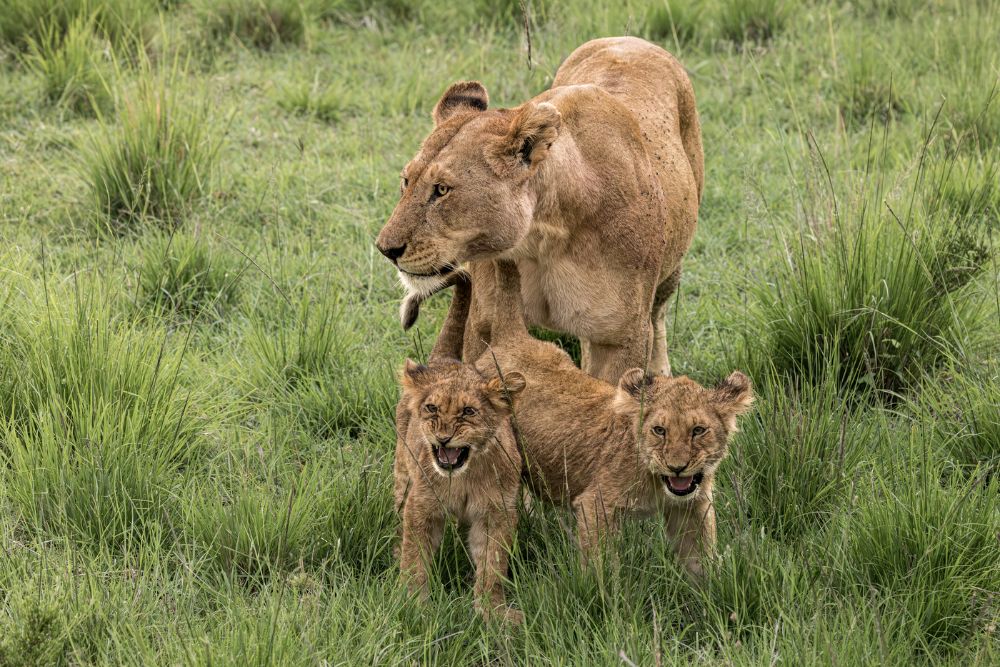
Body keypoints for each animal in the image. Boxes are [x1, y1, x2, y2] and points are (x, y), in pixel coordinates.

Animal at [376, 36, 703, 382]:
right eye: (406, 181)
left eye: (441, 190)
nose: (386, 249)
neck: (543, 237)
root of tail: (629, 39)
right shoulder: (484, 325)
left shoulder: (620, 338)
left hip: (671, 269)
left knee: (658, 313)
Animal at [393, 285, 527, 621]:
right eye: (432, 408)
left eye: (468, 412)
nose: (443, 438)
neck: (465, 477)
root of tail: (444, 359)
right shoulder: (422, 506)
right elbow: (415, 559)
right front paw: (414, 605)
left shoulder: (496, 512)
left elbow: (493, 564)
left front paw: (492, 612)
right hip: (402, 473)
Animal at [475, 260, 753, 575]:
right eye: (659, 430)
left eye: (698, 430)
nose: (677, 467)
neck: (656, 481)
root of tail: (512, 336)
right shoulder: (595, 505)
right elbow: (602, 569)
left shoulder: (690, 508)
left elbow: (701, 564)